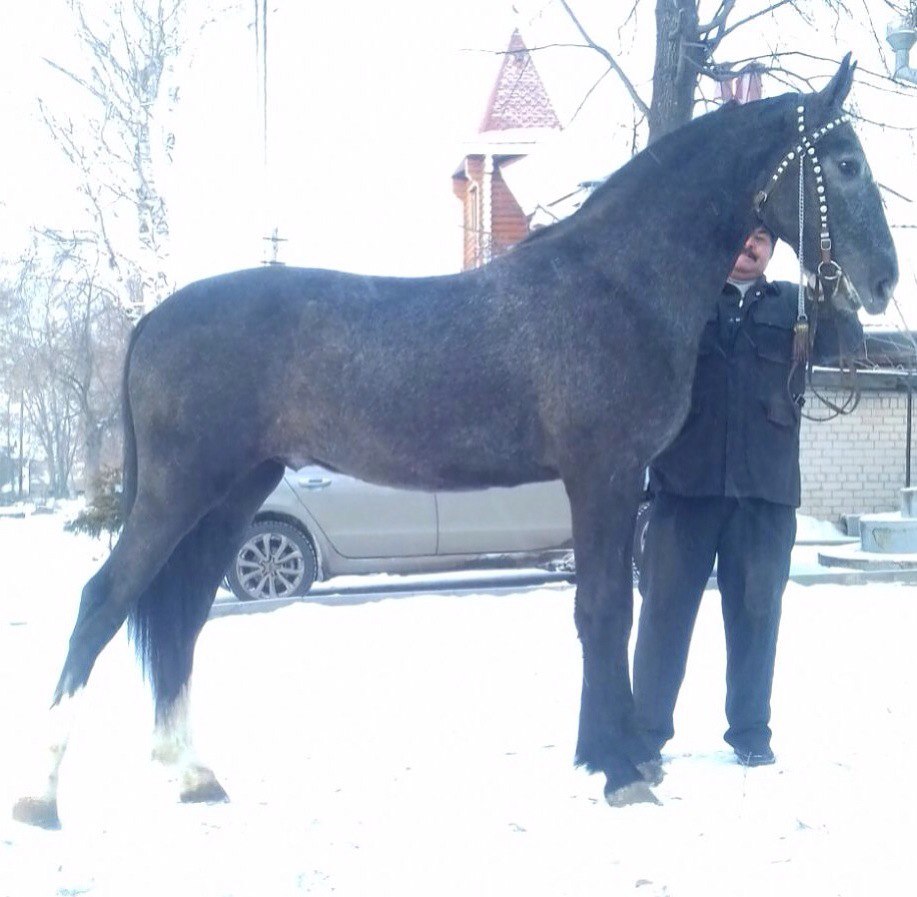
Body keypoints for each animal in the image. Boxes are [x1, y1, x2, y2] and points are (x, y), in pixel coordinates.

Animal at [12, 56, 896, 824]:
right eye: (846, 162)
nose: (884, 278)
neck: (619, 283)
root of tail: (152, 320)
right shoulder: (603, 474)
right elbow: (605, 610)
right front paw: (618, 769)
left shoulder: (612, 485)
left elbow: (604, 608)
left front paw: (604, 756)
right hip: (180, 490)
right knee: (103, 600)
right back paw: (41, 795)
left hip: (233, 492)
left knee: (184, 612)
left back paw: (192, 773)